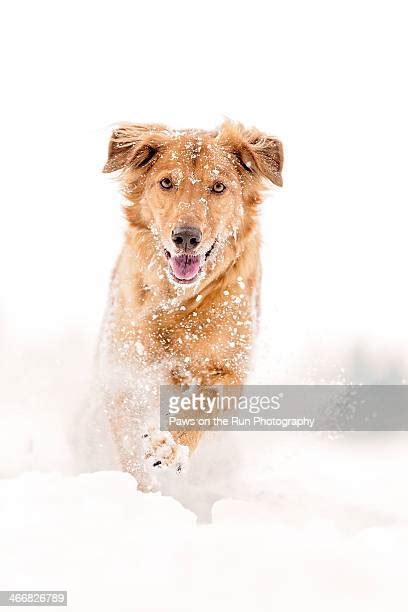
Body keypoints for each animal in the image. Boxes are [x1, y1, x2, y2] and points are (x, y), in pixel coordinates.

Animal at [97, 120, 284, 492]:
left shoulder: (229, 369)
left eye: (218, 187)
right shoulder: (123, 372)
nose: (186, 237)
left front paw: (169, 447)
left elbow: (201, 406)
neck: (179, 304)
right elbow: (129, 444)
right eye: (167, 182)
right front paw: (142, 490)